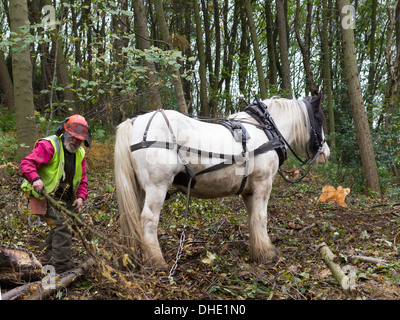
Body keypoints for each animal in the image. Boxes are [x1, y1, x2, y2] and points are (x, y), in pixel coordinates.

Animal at [114, 95, 330, 268]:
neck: (267, 130)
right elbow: (261, 217)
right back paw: (157, 262)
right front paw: (266, 253)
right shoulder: (263, 184)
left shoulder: (249, 190)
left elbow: (252, 218)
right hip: (157, 187)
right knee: (148, 221)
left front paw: (257, 249)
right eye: (319, 119)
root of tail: (135, 122)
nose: (326, 153)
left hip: (139, 188)